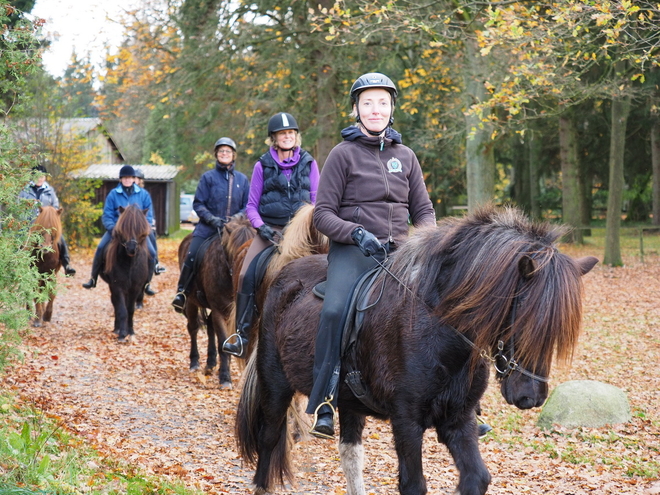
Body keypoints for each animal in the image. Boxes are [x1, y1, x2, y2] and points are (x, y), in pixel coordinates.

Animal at [100, 203, 151, 342]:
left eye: (141, 230)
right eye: (123, 229)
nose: (131, 249)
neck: (129, 264)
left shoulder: (135, 288)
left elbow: (130, 310)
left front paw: (131, 332)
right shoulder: (118, 286)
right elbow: (122, 309)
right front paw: (122, 334)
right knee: (116, 304)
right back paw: (117, 329)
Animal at [177, 215, 254, 390]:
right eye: (237, 250)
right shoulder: (220, 311)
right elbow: (223, 344)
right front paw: (225, 378)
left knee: (210, 327)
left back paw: (211, 363)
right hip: (191, 302)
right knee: (193, 328)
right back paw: (195, 362)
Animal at [236, 203, 600, 494]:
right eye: (523, 315)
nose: (531, 397)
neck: (439, 327)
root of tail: (287, 272)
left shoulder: (458, 419)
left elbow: (476, 478)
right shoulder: (406, 421)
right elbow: (414, 484)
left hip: (350, 400)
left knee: (350, 454)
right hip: (276, 384)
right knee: (269, 439)